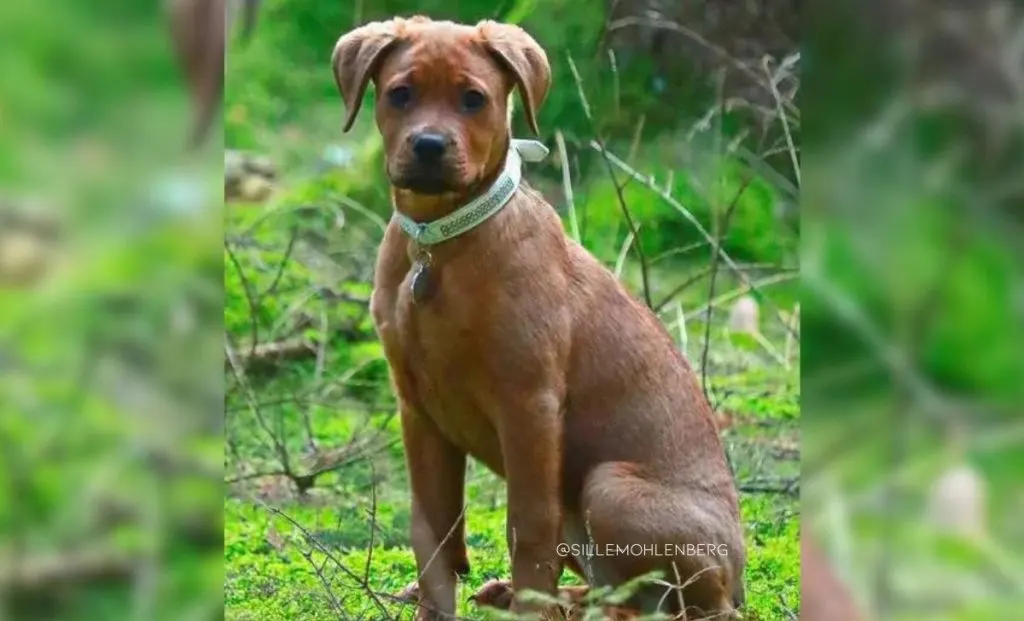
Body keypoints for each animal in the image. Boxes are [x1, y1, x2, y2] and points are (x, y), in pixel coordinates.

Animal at [333, 17, 745, 618]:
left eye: (474, 99)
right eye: (400, 94)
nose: (429, 146)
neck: (440, 242)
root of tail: (737, 577)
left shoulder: (529, 404)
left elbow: (526, 524)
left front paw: (529, 604)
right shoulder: (418, 410)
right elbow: (432, 529)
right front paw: (434, 606)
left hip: (611, 488)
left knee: (679, 607)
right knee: (617, 588)